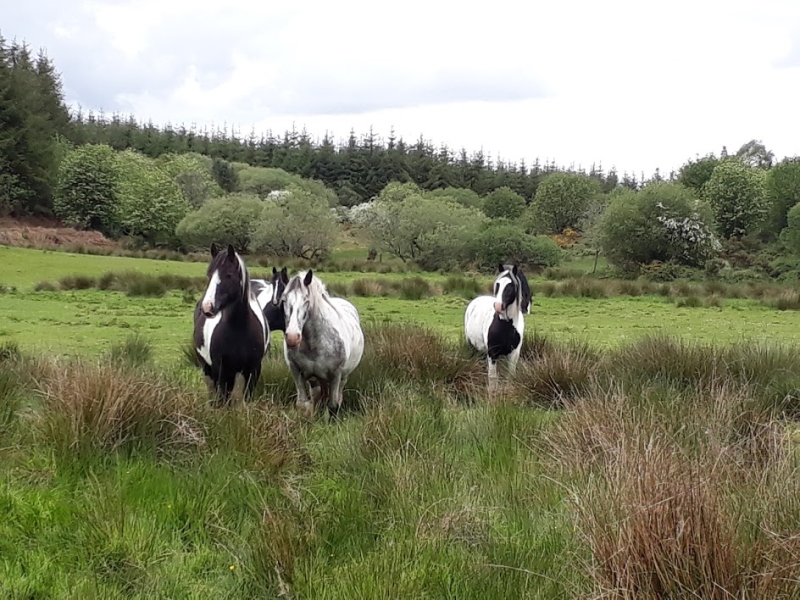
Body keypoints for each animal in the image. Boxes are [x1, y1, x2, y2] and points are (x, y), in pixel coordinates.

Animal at [280, 270, 364, 420]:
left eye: (306, 300)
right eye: (283, 300)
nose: (292, 337)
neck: (314, 343)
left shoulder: (336, 375)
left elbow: (333, 406)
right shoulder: (296, 372)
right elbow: (303, 405)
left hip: (343, 377)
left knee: (338, 397)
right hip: (315, 379)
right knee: (316, 396)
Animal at [462, 264, 532, 392]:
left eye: (511, 286)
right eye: (498, 284)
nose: (498, 306)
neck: (505, 325)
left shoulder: (514, 354)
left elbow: (510, 377)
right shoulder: (492, 353)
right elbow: (493, 378)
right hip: (472, 347)